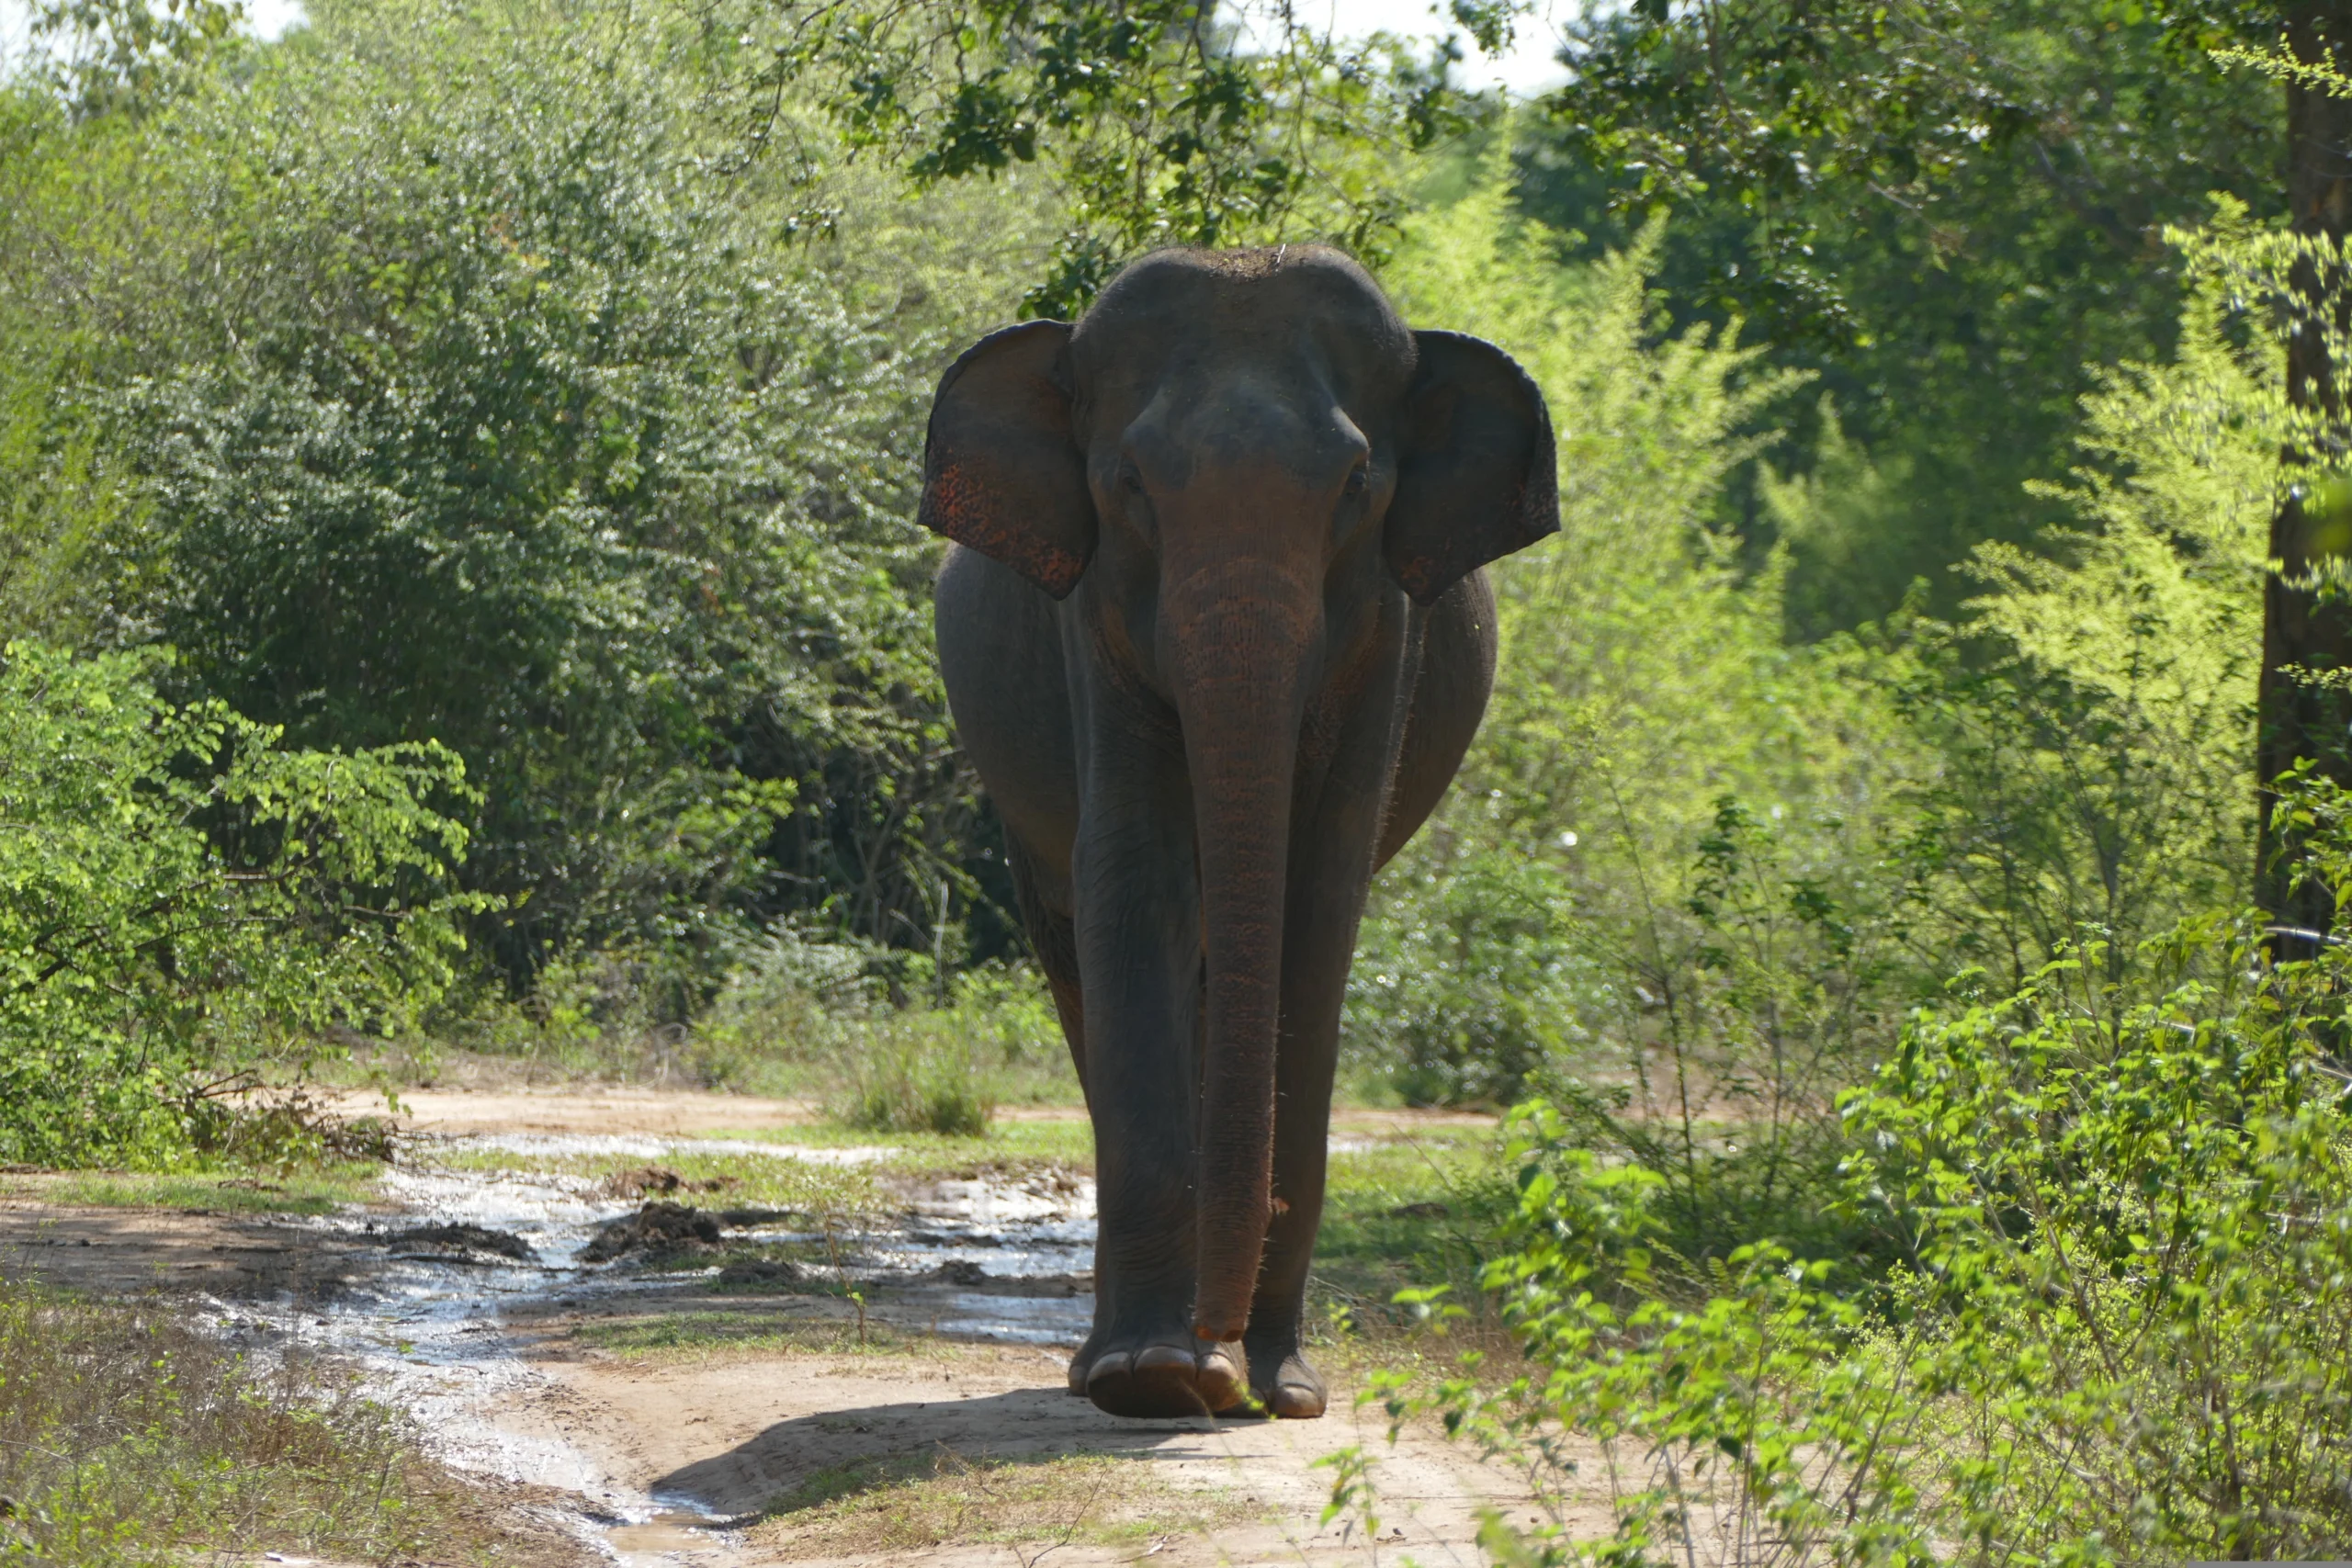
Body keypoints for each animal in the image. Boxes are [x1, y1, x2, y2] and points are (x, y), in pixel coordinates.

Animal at [921, 244, 1558, 1421]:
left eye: (1356, 486)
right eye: (1128, 486)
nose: (1217, 1363)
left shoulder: (1387, 629)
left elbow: (1316, 898)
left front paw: (1280, 1390)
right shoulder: (1090, 617)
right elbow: (1136, 878)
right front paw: (1150, 1382)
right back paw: (1121, 1367)